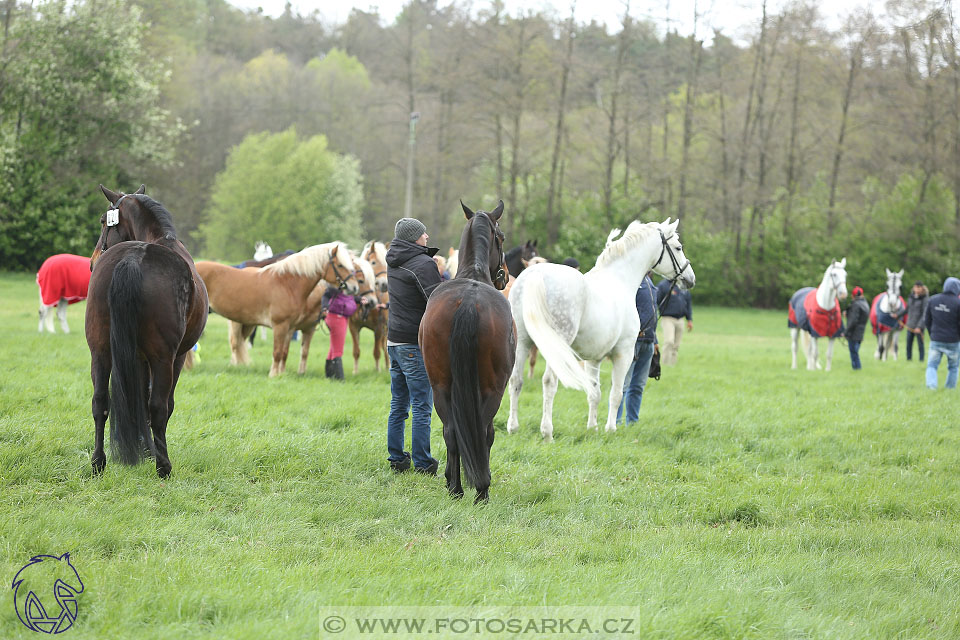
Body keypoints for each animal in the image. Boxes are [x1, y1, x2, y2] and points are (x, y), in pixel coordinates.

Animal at [85, 184, 210, 476]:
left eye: (102, 222)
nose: (92, 263)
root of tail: (132, 259)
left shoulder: (137, 358)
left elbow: (137, 400)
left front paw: (143, 448)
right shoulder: (176, 357)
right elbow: (161, 405)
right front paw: (150, 451)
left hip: (100, 351)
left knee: (100, 402)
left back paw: (98, 462)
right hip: (163, 358)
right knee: (158, 407)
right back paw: (163, 466)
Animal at [196, 244, 360, 376]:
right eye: (340, 265)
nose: (354, 288)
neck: (287, 284)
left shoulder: (289, 328)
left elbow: (284, 353)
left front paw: (281, 374)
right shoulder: (280, 326)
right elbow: (277, 352)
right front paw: (273, 374)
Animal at [348, 241, 390, 376]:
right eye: (373, 262)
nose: (384, 284)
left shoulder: (378, 328)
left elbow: (377, 352)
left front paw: (378, 369)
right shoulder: (353, 326)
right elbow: (356, 351)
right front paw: (355, 371)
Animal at [416, 200, 512, 504]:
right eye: (501, 237)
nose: (505, 275)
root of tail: (469, 302)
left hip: (440, 386)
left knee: (451, 432)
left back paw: (455, 488)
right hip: (493, 388)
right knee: (482, 432)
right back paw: (481, 491)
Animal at [506, 219, 692, 440]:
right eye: (678, 247)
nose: (690, 278)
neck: (620, 280)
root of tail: (535, 275)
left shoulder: (593, 358)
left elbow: (594, 393)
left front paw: (592, 428)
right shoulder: (624, 353)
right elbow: (617, 393)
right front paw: (610, 429)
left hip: (523, 343)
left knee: (516, 380)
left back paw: (513, 427)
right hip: (556, 346)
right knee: (549, 382)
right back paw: (547, 432)